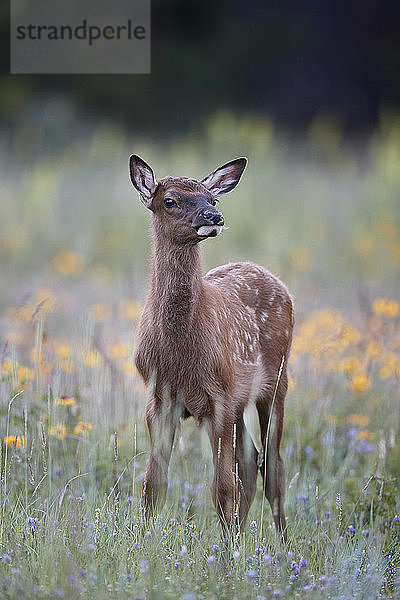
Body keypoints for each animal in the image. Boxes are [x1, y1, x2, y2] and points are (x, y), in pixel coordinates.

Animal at [129, 155, 294, 540]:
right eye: (169, 200)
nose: (214, 217)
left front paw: (226, 551)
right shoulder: (160, 397)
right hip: (239, 401)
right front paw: (142, 540)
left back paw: (280, 544)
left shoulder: (219, 396)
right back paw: (243, 534)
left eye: (213, 198)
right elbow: (153, 483)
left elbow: (222, 488)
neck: (178, 352)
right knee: (251, 461)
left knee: (273, 466)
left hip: (276, 381)